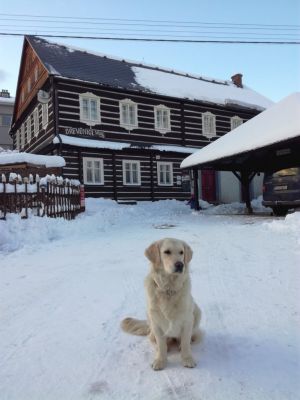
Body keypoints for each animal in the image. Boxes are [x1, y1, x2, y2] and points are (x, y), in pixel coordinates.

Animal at [120, 238, 202, 372]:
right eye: (166, 252)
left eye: (181, 252)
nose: (180, 264)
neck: (169, 288)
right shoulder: (156, 323)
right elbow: (161, 345)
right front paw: (160, 360)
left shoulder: (187, 321)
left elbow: (185, 342)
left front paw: (187, 359)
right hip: (150, 320)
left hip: (197, 312)